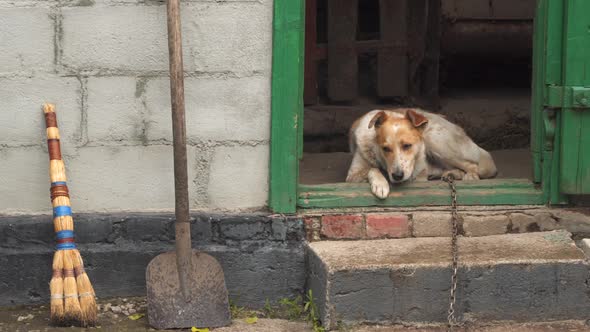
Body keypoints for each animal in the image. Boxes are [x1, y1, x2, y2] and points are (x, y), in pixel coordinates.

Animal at [346, 107, 500, 198]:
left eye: (407, 145)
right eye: (385, 149)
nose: (397, 176)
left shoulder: (417, 177)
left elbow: (374, 169)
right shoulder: (352, 175)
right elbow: (373, 168)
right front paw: (381, 183)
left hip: (437, 142)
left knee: (474, 166)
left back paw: (470, 177)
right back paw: (451, 174)